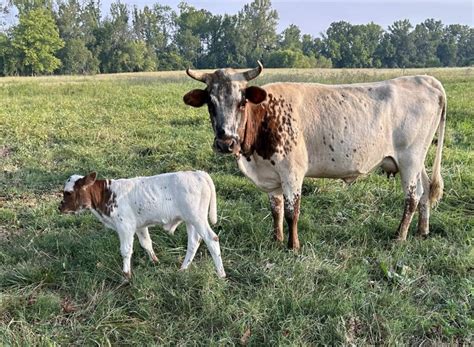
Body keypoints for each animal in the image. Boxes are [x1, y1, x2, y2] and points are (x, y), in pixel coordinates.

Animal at [59, 171, 226, 280]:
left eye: (68, 193)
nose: (59, 207)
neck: (106, 195)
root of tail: (198, 173)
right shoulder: (139, 226)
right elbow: (146, 243)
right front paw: (155, 261)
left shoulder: (125, 227)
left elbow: (126, 251)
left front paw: (126, 276)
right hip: (190, 221)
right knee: (193, 242)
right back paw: (183, 269)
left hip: (197, 218)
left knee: (212, 239)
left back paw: (221, 274)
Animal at [183, 61, 446, 250]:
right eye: (210, 103)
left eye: (241, 101)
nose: (225, 143)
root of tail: (425, 79)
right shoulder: (272, 175)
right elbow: (276, 209)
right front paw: (277, 239)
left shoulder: (292, 172)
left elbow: (292, 211)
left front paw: (293, 246)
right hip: (418, 160)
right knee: (425, 191)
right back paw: (422, 231)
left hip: (410, 159)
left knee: (412, 197)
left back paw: (400, 236)